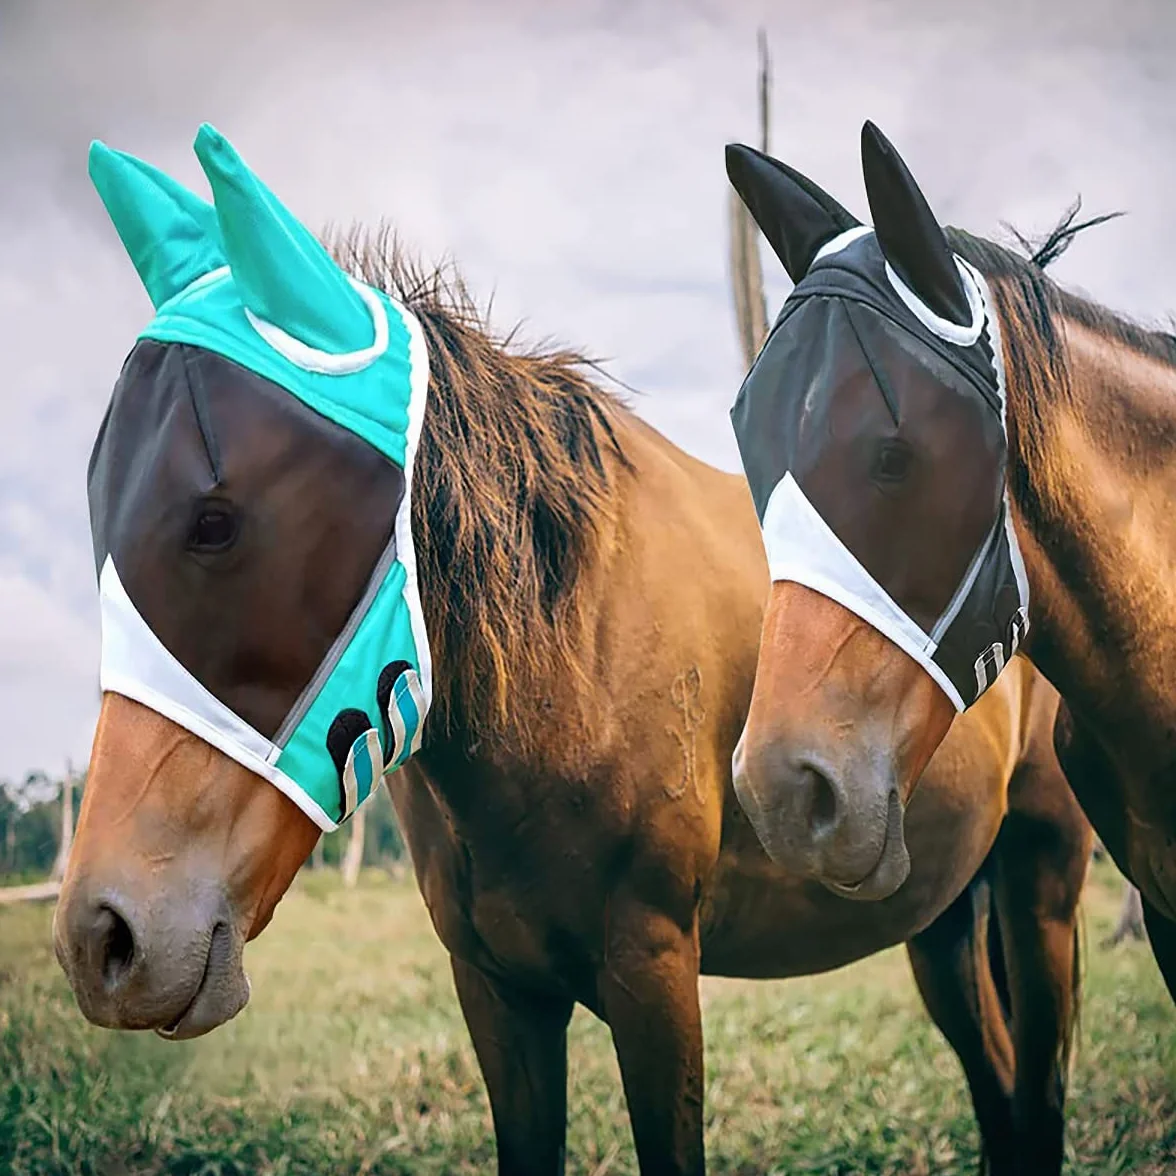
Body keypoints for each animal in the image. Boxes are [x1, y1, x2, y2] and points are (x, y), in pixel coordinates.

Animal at [54, 133, 1091, 1176]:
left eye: (215, 523)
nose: (103, 938)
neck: (571, 666)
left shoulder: (654, 972)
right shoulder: (498, 993)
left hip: (1039, 879)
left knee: (1038, 1092)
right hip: (942, 914)